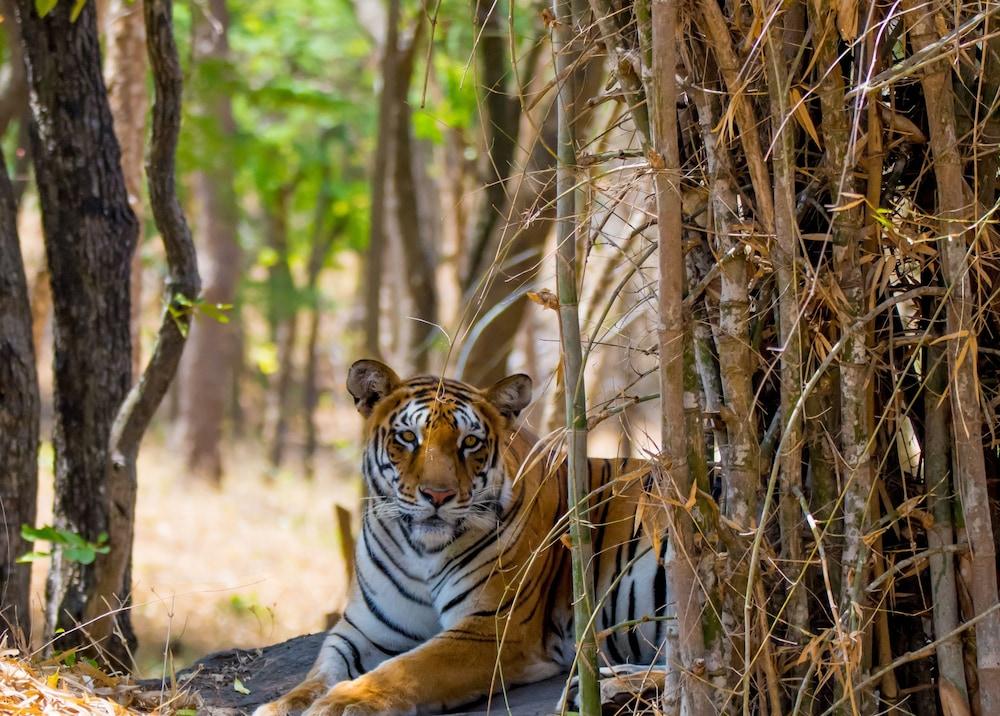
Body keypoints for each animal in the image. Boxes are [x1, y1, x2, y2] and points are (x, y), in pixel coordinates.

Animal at [254, 364, 668, 716]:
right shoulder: (364, 629)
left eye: (470, 442)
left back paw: (612, 690)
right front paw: (280, 705)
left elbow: (408, 667)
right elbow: (320, 670)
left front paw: (342, 703)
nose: (438, 495)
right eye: (408, 437)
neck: (418, 550)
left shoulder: (493, 628)